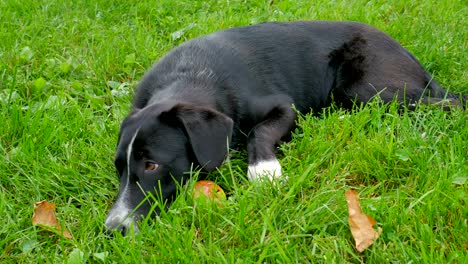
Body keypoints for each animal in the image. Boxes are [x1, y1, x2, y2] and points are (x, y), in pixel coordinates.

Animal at [104, 21, 462, 234]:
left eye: (152, 165)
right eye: (119, 168)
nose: (111, 229)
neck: (189, 76)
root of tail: (409, 54)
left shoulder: (283, 106)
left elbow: (259, 132)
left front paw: (265, 171)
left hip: (366, 87)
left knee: (451, 102)